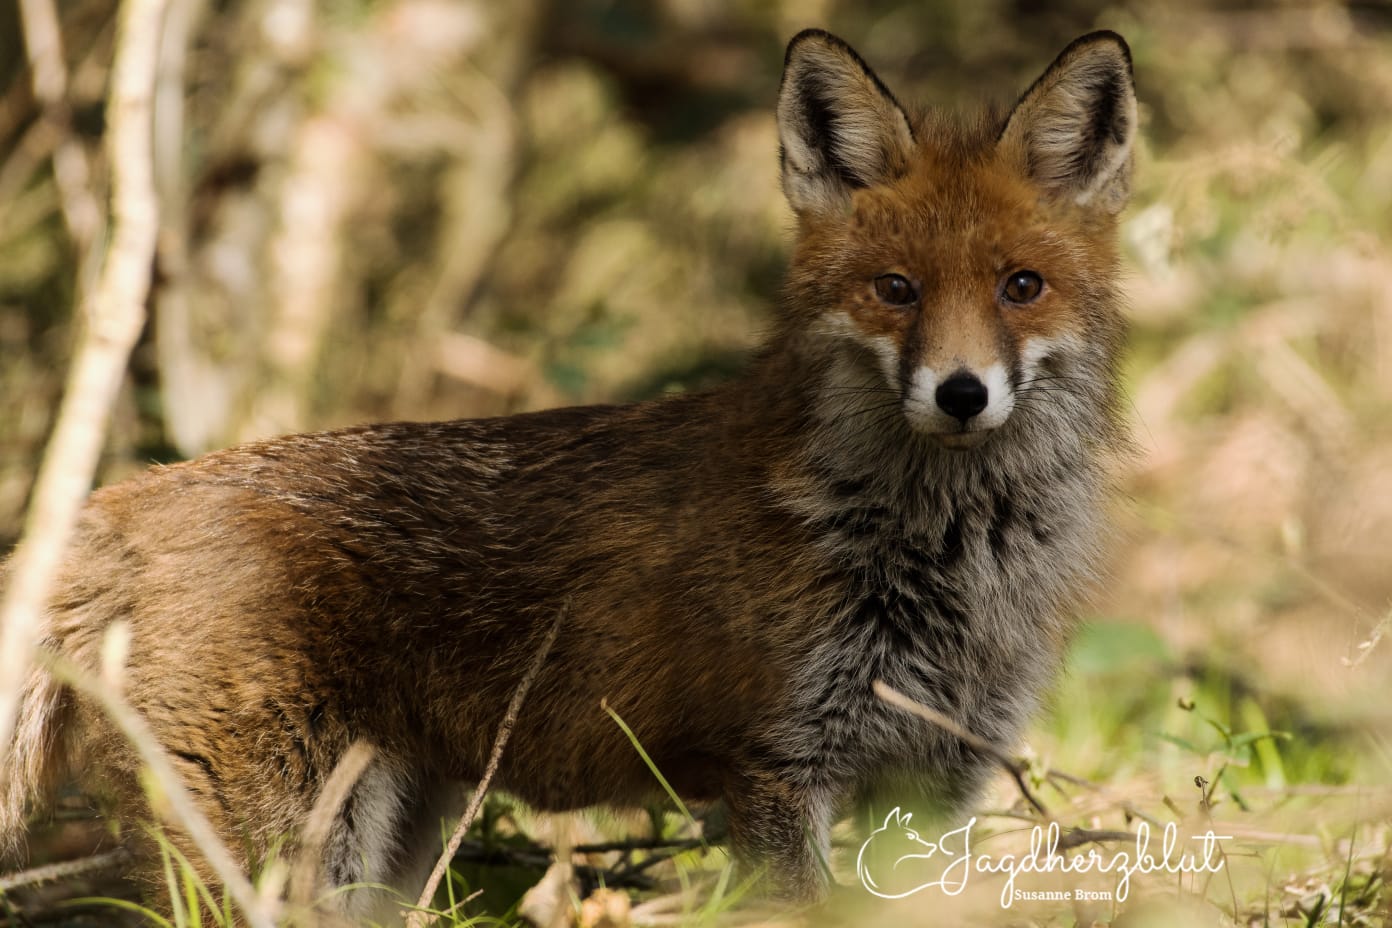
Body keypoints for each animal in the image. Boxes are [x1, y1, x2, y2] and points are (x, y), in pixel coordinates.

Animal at [0, 27, 1136, 919]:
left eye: (1021, 286)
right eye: (896, 290)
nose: (961, 392)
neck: (943, 557)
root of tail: (122, 498)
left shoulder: (943, 779)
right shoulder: (778, 763)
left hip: (386, 851)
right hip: (275, 859)